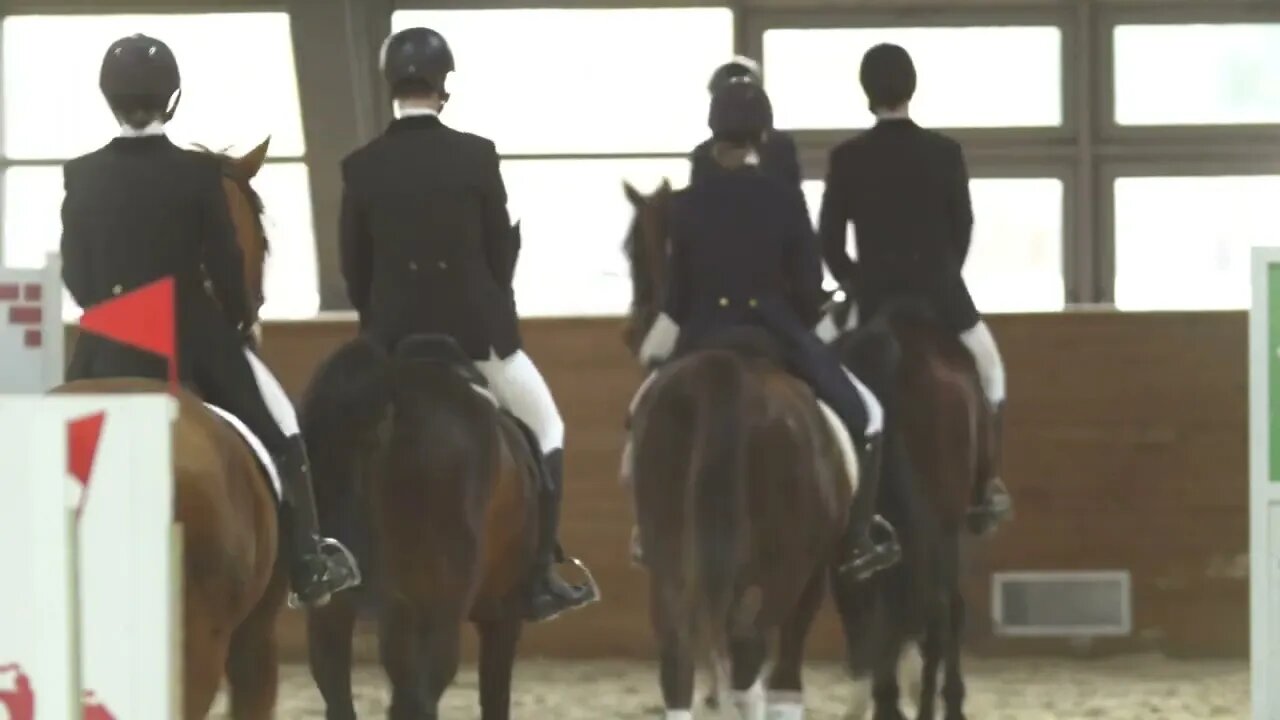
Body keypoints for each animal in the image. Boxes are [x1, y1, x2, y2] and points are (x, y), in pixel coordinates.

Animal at [302, 327, 568, 712]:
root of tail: (389, 386)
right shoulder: (502, 614)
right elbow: (495, 696)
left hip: (336, 607)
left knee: (338, 685)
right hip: (439, 608)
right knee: (422, 696)